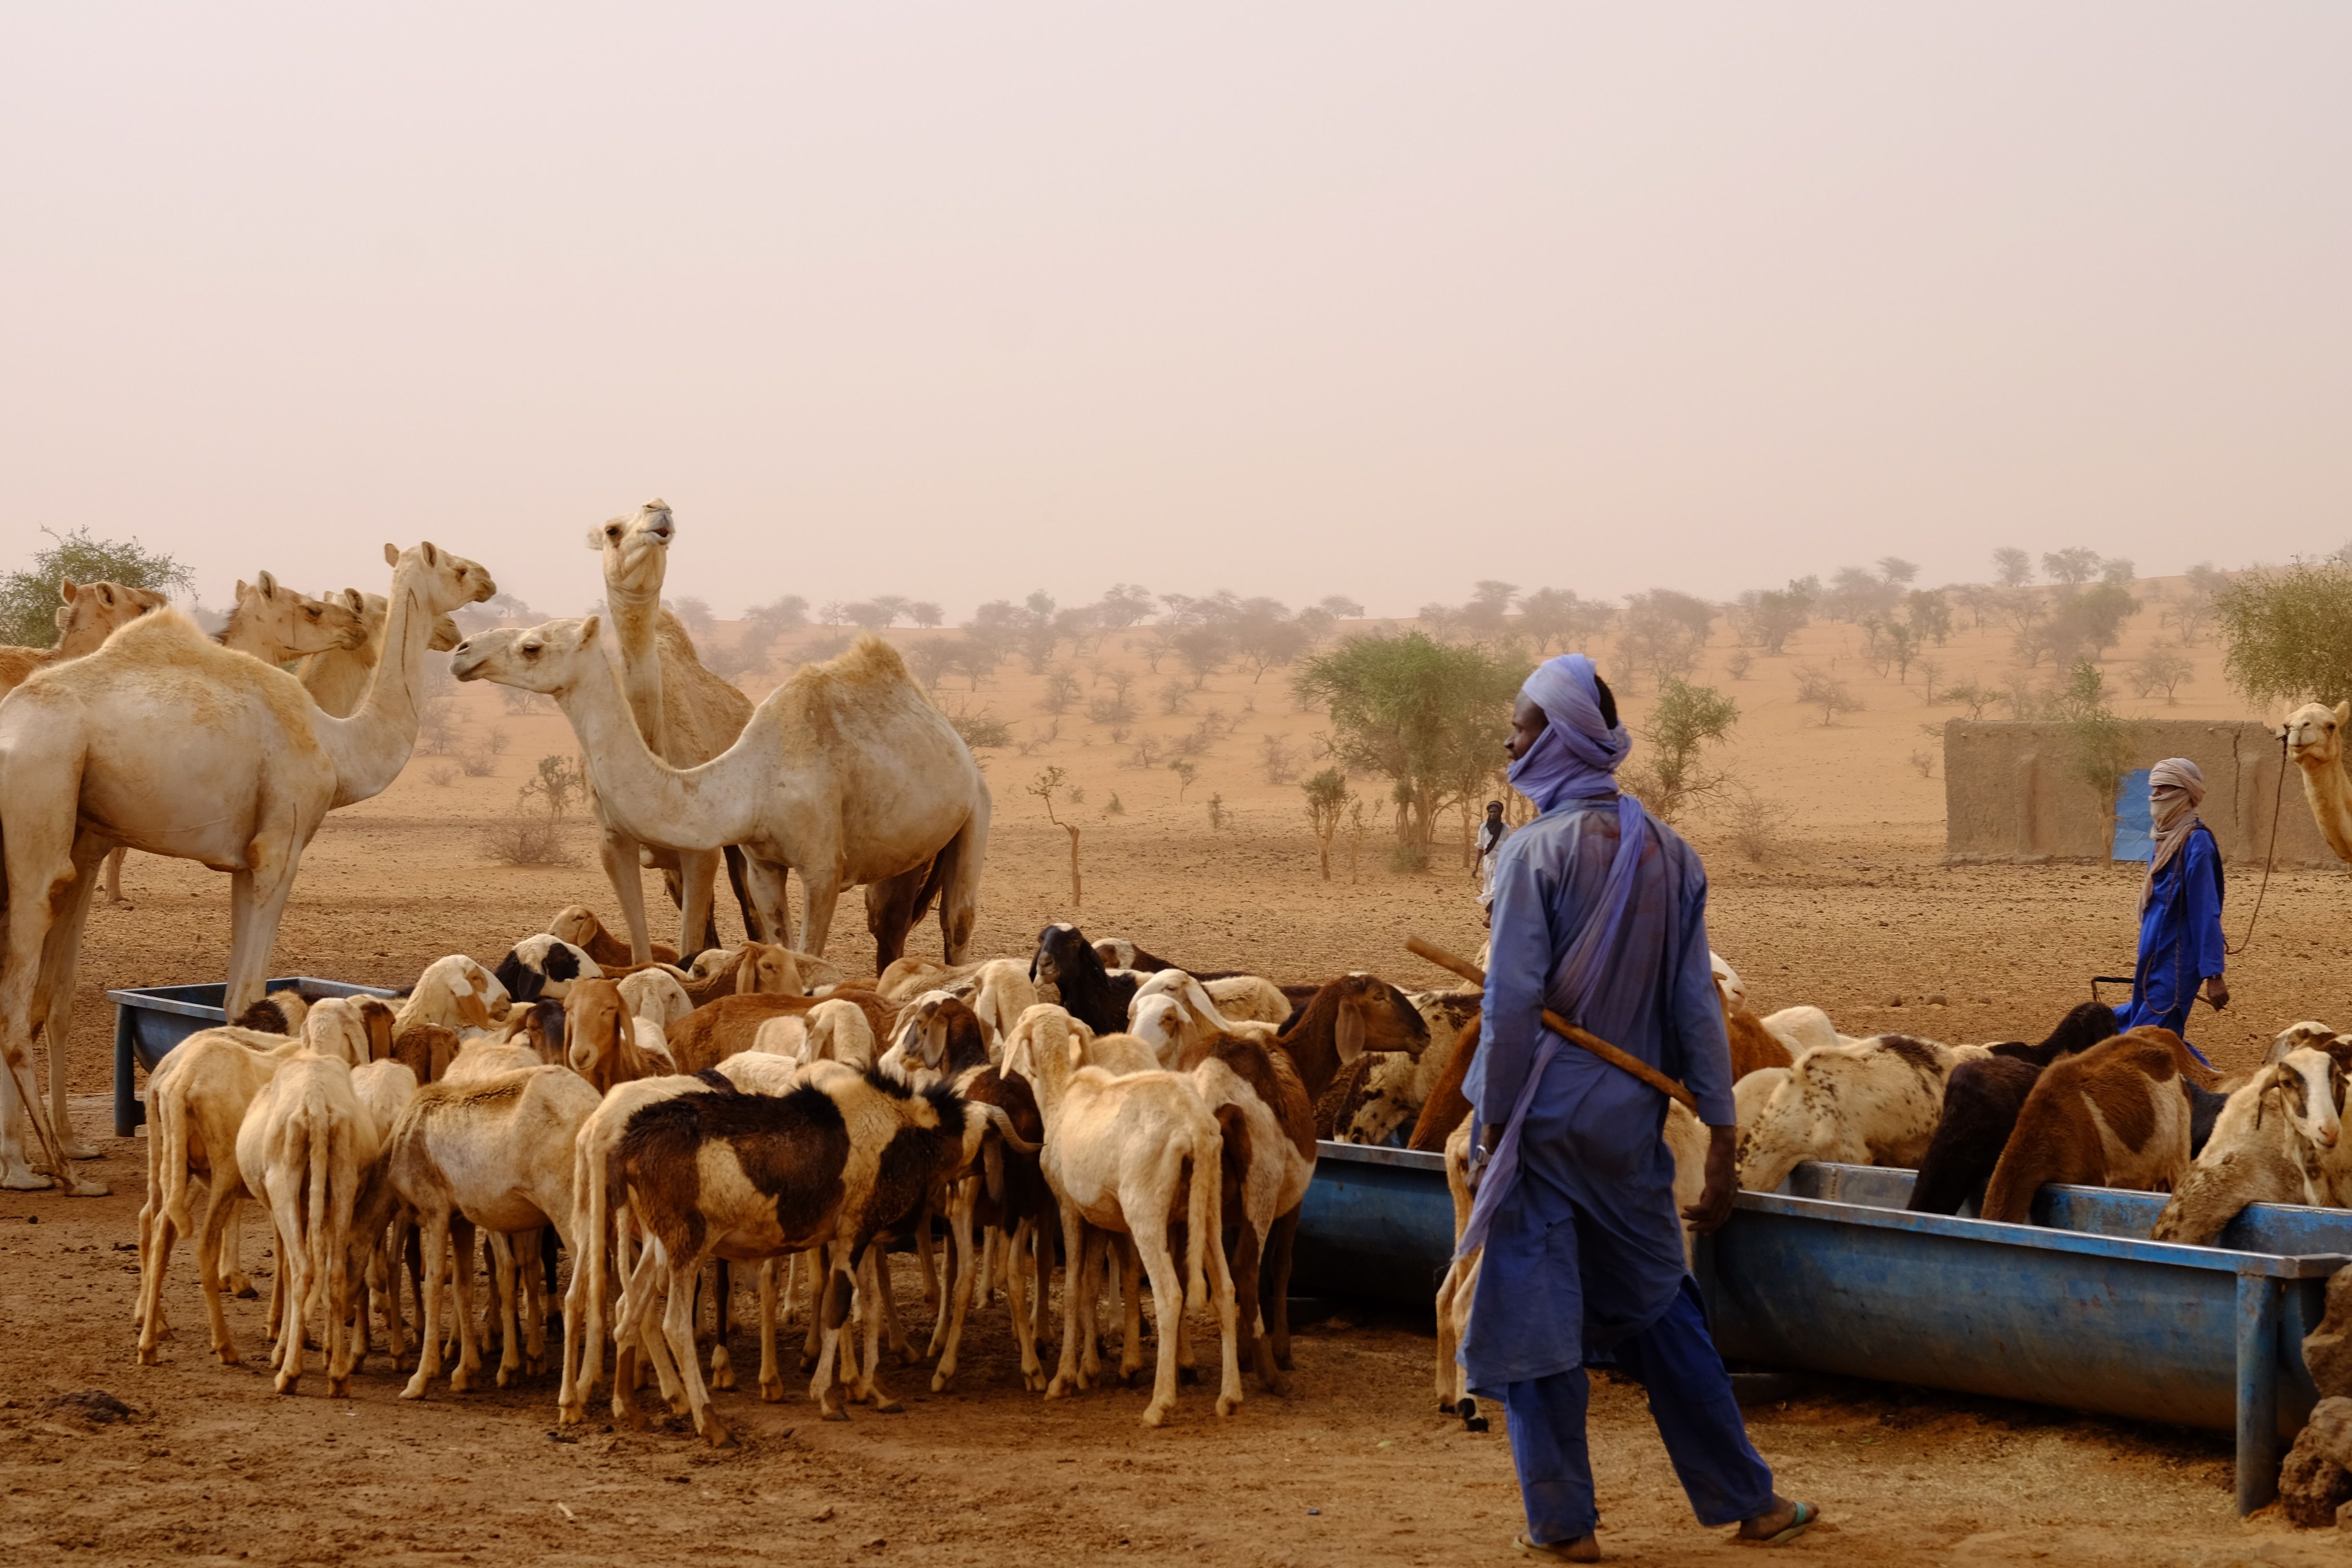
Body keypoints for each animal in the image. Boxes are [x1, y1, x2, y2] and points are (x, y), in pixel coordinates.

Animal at [0, 540, 496, 1189]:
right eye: (457, 569)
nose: (485, 585)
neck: (337, 745)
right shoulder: (278, 849)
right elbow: (246, 994)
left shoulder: (242, 862)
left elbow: (236, 996)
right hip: (42, 813)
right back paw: (50, 1172)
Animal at [453, 616, 988, 968]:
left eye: (532, 646)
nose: (462, 651)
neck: (752, 782)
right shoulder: (762, 863)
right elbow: (781, 944)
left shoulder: (822, 866)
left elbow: (810, 953)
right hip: (907, 851)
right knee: (888, 924)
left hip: (976, 810)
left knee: (957, 923)